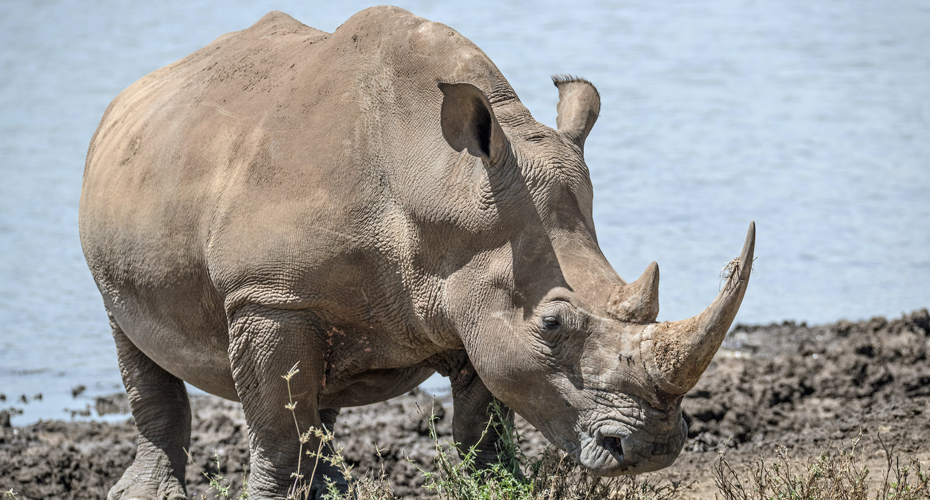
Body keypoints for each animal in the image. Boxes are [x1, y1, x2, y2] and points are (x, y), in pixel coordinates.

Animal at [80, 5, 752, 498]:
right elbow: (277, 429)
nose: (653, 448)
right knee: (132, 337)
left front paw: (496, 484)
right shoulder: (266, 297)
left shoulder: (473, 293)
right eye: (553, 325)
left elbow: (484, 428)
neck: (437, 181)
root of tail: (130, 93)